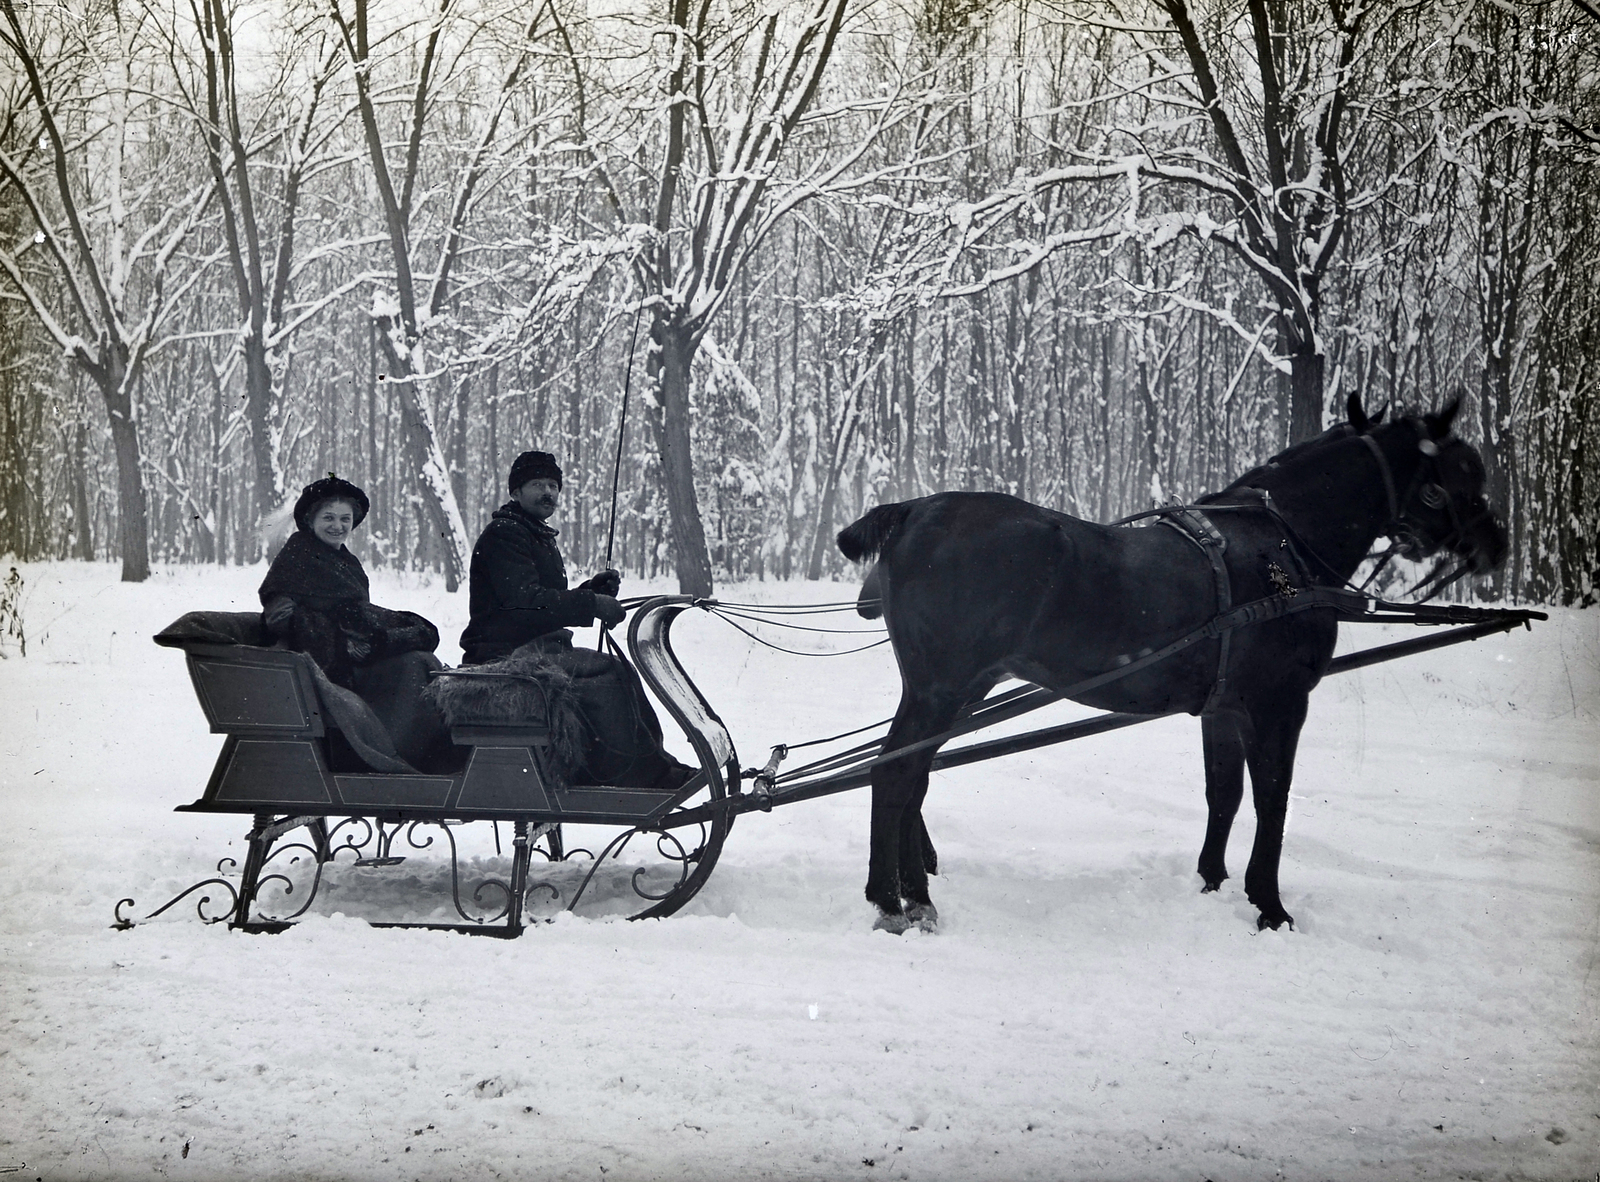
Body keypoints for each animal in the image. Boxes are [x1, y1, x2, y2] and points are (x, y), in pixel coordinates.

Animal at [844, 398, 1504, 934]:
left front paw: (1211, 880)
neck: (1281, 549)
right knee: (894, 775)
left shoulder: (1223, 708)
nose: (1495, 544)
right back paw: (890, 902)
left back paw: (916, 896)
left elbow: (1225, 793)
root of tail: (912, 510)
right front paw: (1270, 906)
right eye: (1448, 481)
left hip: (958, 689)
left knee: (913, 776)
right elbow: (1272, 799)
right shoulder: (1280, 704)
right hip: (942, 688)